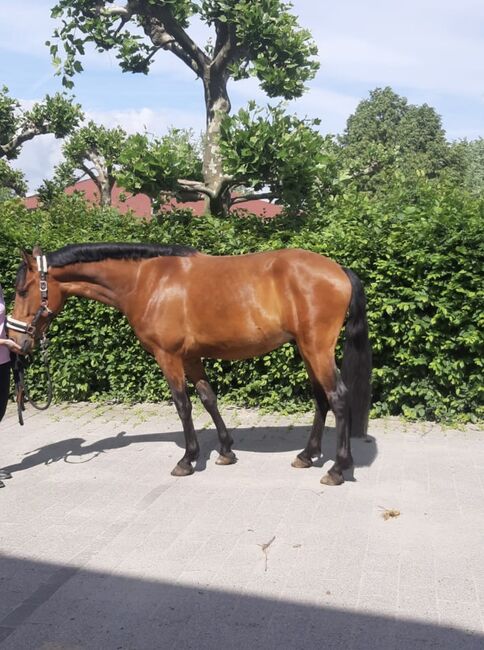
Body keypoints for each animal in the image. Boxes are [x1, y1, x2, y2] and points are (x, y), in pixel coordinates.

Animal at [6, 242, 370, 480]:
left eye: (22, 291)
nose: (14, 340)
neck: (146, 281)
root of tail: (338, 270)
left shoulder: (167, 356)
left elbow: (182, 405)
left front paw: (188, 459)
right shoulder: (192, 356)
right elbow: (208, 398)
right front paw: (225, 451)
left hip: (316, 348)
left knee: (338, 397)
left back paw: (338, 468)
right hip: (307, 349)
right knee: (321, 399)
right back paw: (307, 456)